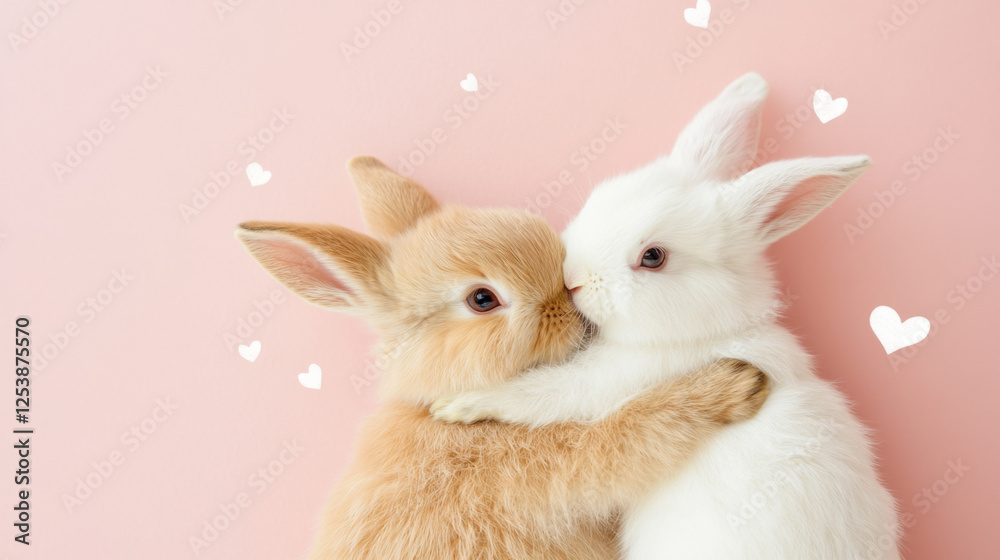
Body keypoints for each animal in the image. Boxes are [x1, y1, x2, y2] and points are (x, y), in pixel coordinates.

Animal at [235, 155, 771, 560]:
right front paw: (734, 385)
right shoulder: (545, 468)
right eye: (481, 300)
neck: (431, 400)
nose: (566, 301)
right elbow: (627, 435)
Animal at [432, 74, 901, 559]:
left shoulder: (612, 379)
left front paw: (458, 403)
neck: (710, 330)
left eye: (653, 257)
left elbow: (542, 394)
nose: (573, 279)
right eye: (603, 197)